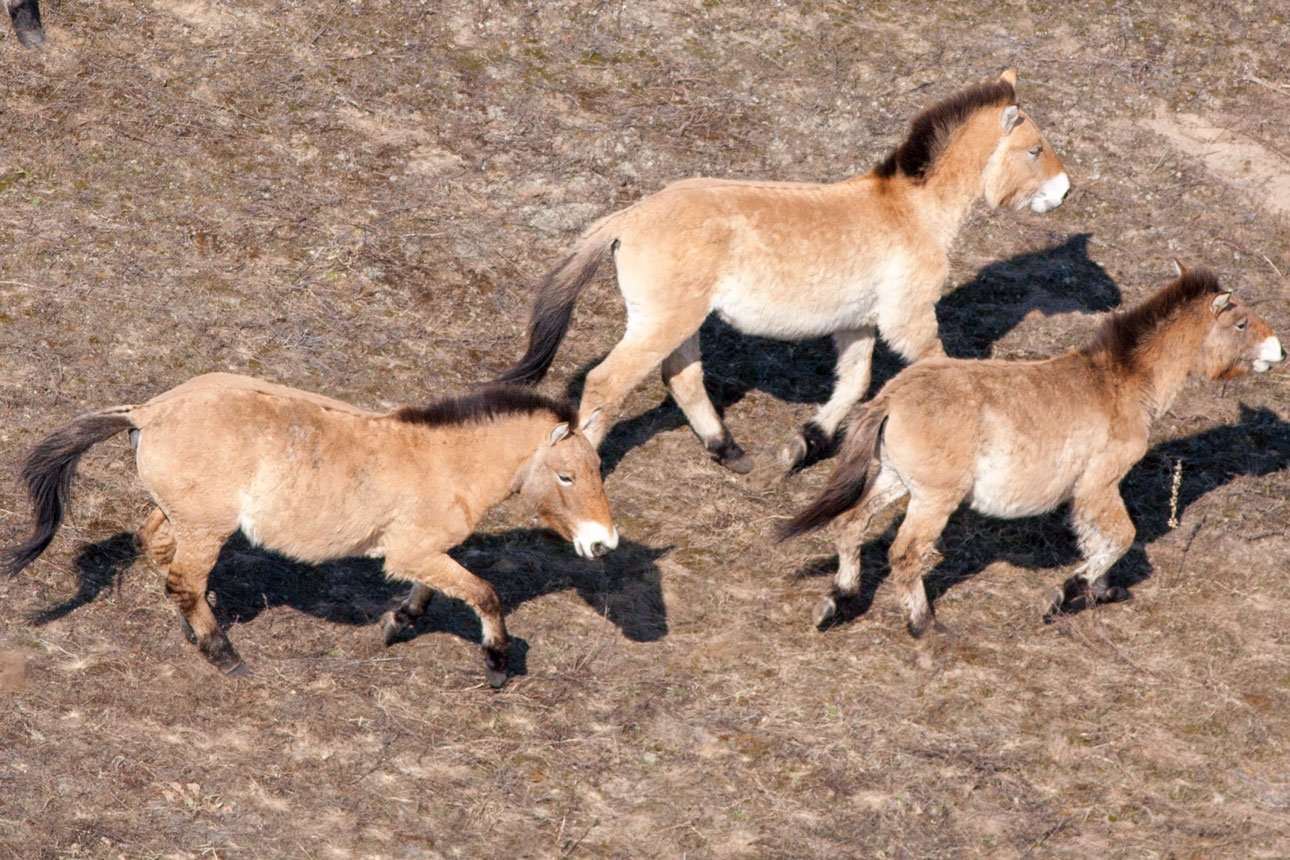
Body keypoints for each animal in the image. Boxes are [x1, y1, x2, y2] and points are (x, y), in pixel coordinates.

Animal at [2, 373, 619, 691]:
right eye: (567, 475)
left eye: (596, 468)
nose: (603, 543)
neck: (442, 461)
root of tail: (147, 412)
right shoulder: (412, 551)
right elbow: (485, 594)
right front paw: (496, 665)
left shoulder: (424, 553)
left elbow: (439, 589)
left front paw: (400, 622)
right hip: (206, 527)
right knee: (183, 579)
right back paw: (225, 655)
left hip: (180, 515)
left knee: (158, 553)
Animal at [492, 69, 1068, 474]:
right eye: (1034, 149)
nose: (1064, 192)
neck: (911, 212)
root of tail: (628, 218)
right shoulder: (908, 320)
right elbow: (935, 370)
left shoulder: (858, 324)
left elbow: (854, 384)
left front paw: (802, 445)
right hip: (664, 322)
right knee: (607, 382)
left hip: (679, 322)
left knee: (682, 378)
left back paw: (729, 452)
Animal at [774, 266, 1279, 639]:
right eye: (1240, 322)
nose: (1279, 351)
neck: (1122, 382)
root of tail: (892, 398)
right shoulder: (1100, 485)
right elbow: (1120, 537)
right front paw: (1067, 593)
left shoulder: (1086, 494)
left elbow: (1096, 540)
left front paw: (1100, 592)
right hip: (933, 499)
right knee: (905, 554)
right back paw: (924, 626)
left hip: (896, 482)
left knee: (850, 525)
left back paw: (837, 604)